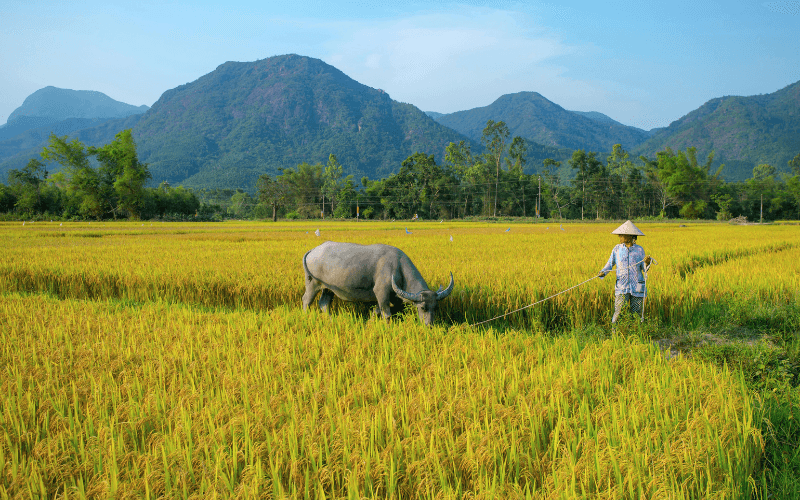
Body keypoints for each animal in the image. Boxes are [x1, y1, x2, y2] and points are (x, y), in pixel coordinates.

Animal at [302, 241, 454, 326]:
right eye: (423, 307)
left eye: (436, 307)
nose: (429, 325)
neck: (397, 266)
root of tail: (313, 250)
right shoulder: (381, 292)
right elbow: (386, 314)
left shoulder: (383, 298)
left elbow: (377, 312)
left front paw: (369, 323)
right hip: (312, 283)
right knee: (306, 300)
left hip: (328, 289)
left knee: (324, 303)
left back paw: (331, 320)